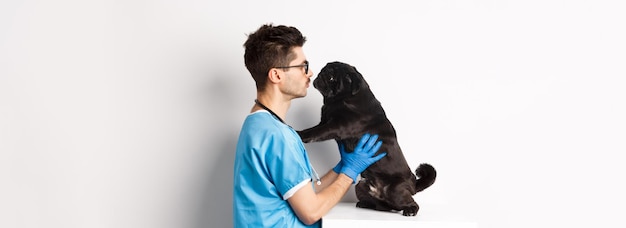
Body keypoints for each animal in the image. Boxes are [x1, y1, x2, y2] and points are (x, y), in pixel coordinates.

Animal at [296, 60, 434, 216]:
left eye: (332, 78)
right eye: (324, 71)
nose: (321, 74)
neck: (341, 100)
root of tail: (414, 182)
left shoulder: (336, 125)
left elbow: (316, 132)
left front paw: (300, 134)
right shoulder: (325, 121)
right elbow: (314, 129)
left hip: (395, 190)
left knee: (409, 203)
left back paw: (410, 210)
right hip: (361, 186)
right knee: (384, 206)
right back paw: (366, 204)